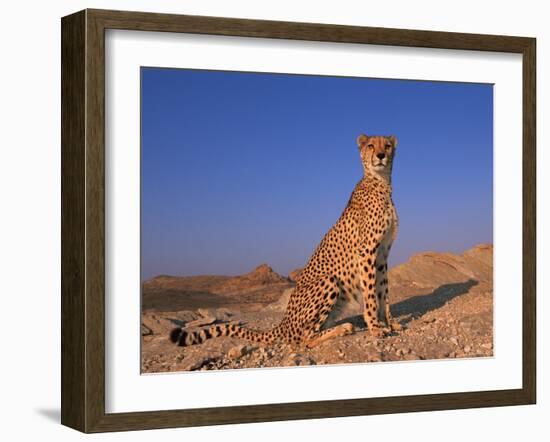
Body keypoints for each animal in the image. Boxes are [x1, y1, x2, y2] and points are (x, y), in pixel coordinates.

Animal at [170, 135, 404, 348]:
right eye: (371, 145)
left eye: (387, 145)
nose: (381, 155)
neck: (381, 183)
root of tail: (282, 323)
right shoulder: (367, 252)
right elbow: (371, 294)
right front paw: (375, 327)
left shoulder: (382, 254)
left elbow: (383, 292)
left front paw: (390, 323)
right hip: (328, 281)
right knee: (303, 340)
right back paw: (342, 329)